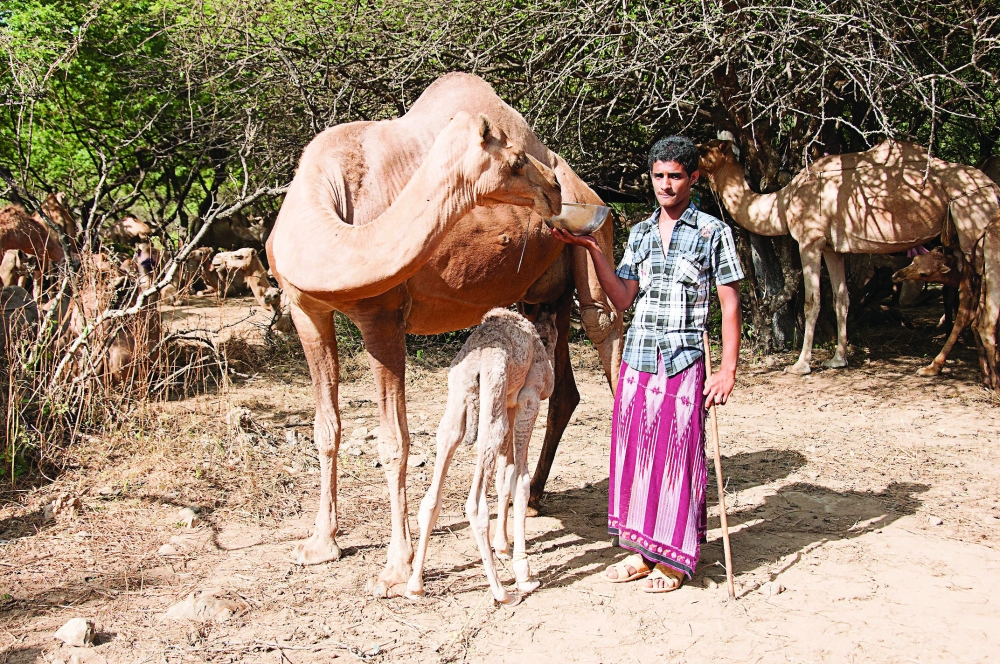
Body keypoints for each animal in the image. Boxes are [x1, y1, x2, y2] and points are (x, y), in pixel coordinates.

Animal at [407, 308, 556, 604]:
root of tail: (475, 362)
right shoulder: (528, 399)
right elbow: (519, 480)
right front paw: (524, 574)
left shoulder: (510, 401)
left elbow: (504, 477)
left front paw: (503, 547)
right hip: (493, 404)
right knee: (475, 504)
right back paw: (502, 592)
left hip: (461, 399)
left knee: (434, 488)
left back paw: (415, 585)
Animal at [698, 139, 1000, 374]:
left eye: (703, 150)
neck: (783, 204)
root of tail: (990, 186)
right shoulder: (833, 248)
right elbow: (841, 298)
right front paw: (838, 359)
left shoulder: (810, 240)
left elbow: (812, 301)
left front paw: (800, 365)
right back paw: (939, 367)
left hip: (976, 227)